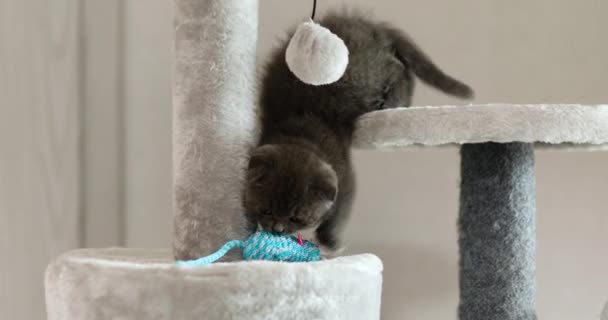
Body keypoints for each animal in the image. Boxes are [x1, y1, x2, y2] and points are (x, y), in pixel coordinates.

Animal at [243, 12, 476, 250]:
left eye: (296, 218)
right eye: (266, 210)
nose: (277, 229)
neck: (300, 131)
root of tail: (369, 24)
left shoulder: (345, 179)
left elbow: (340, 212)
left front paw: (330, 242)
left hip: (363, 73)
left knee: (397, 68)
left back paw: (393, 102)